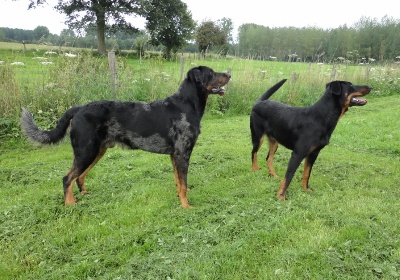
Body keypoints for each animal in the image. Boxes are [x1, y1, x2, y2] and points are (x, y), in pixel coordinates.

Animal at [21, 65, 231, 208]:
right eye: (211, 73)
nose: (229, 74)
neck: (186, 105)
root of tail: (78, 109)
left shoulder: (175, 155)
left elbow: (179, 182)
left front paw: (179, 198)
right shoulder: (182, 153)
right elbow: (184, 184)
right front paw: (186, 206)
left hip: (96, 151)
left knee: (79, 177)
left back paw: (84, 194)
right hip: (86, 151)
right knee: (67, 178)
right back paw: (70, 203)